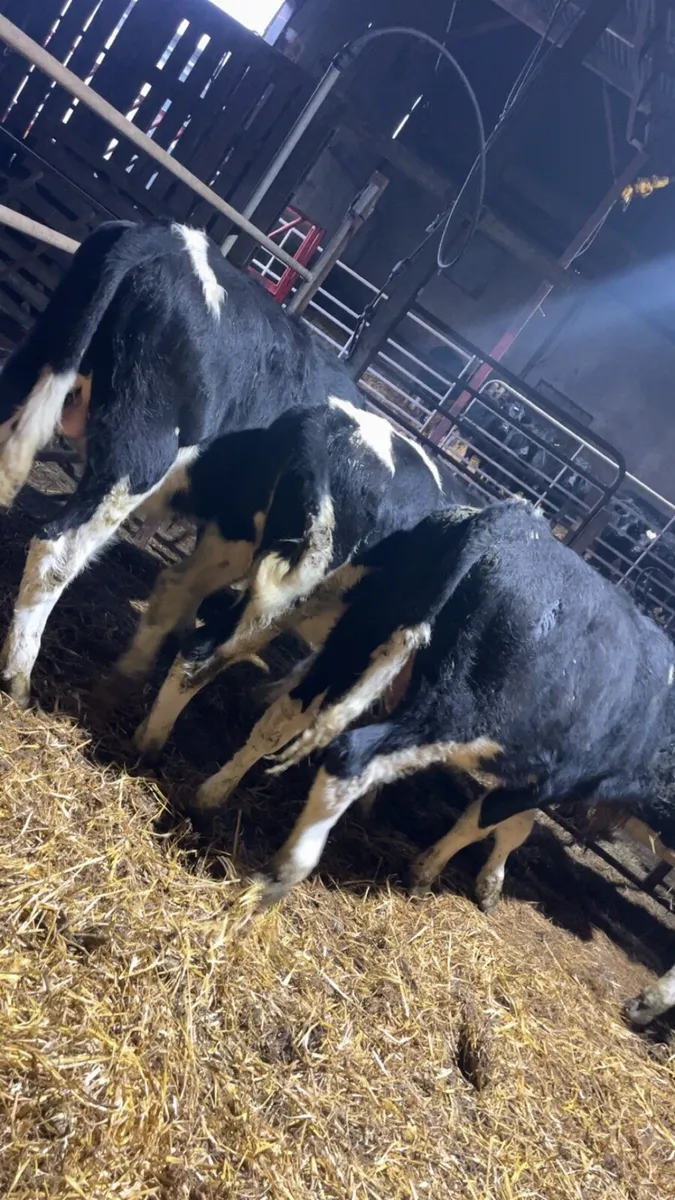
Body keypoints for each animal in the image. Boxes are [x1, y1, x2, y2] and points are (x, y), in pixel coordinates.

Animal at [0, 218, 379, 708]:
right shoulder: (244, 529)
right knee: (56, 551)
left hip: (30, 363)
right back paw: (18, 677)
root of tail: (163, 234)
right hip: (140, 456)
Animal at [121, 398, 452, 758]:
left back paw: (131, 683)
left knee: (178, 588)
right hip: (296, 596)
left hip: (243, 543)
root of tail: (325, 425)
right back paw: (152, 741)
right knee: (204, 650)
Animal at [181, 499, 675, 917]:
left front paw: (487, 882)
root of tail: (508, 524)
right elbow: (487, 821)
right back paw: (285, 873)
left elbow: (513, 826)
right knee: (351, 757)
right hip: (450, 714)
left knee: (277, 713)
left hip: (356, 634)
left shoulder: (532, 776)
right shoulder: (553, 778)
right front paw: (429, 872)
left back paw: (212, 793)